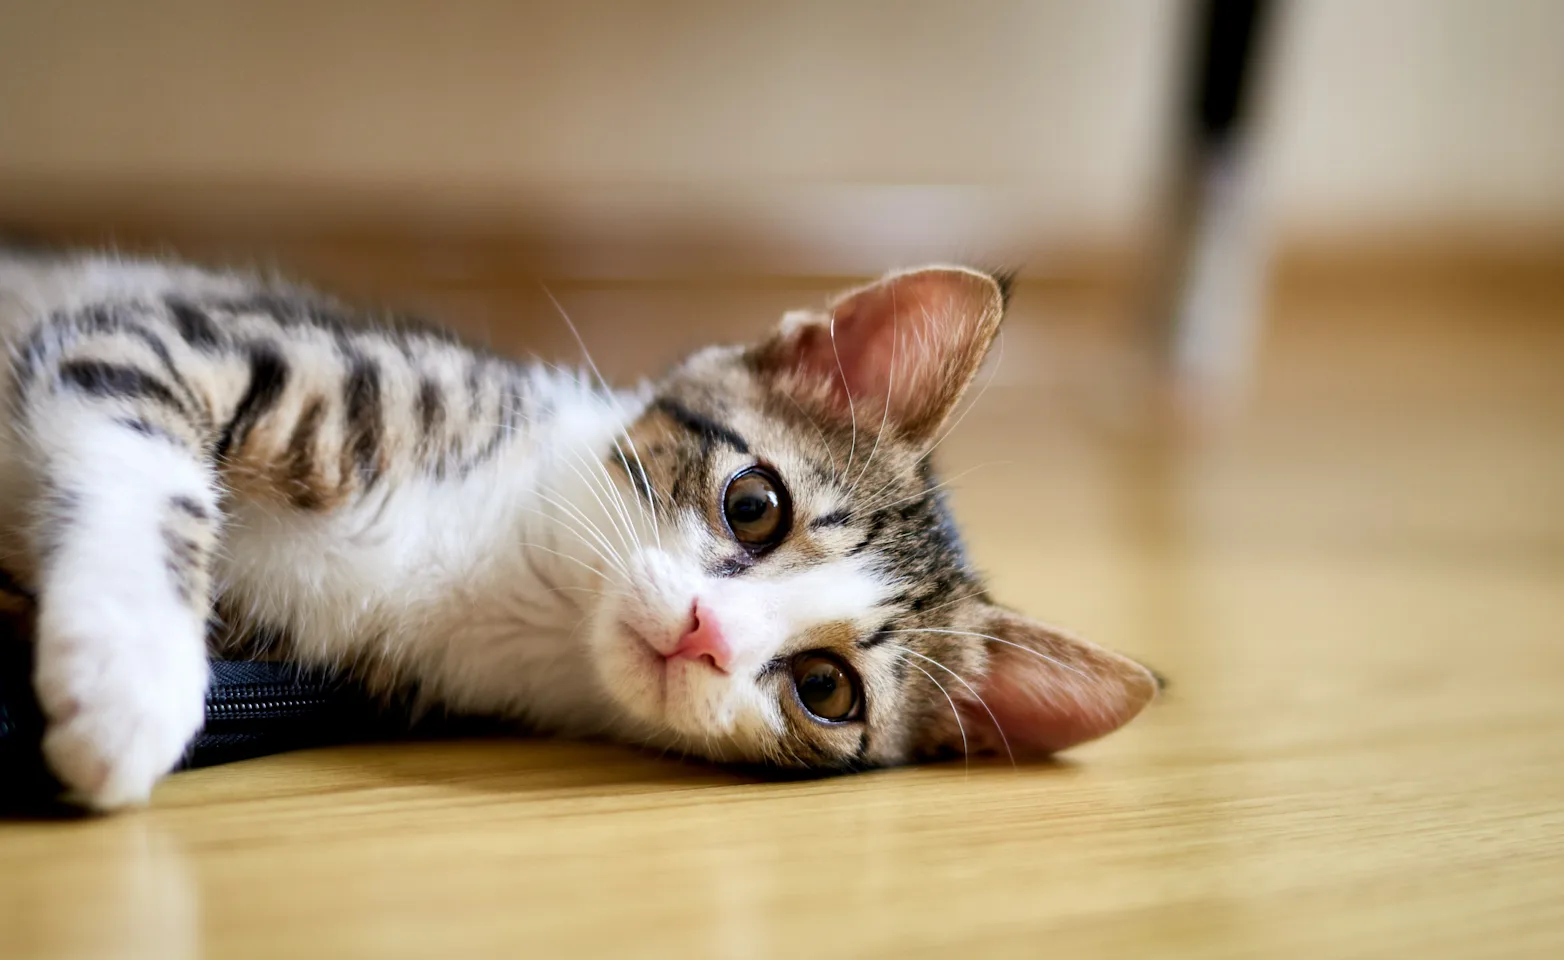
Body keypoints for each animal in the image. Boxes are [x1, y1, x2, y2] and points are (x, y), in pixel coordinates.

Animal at [0, 250, 1151, 813]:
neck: (510, 586)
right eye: (753, 505)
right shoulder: (178, 332)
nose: (706, 632)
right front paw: (128, 675)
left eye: (826, 689)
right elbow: (143, 445)